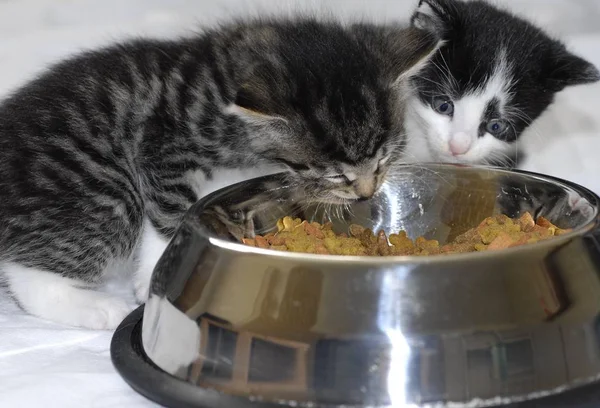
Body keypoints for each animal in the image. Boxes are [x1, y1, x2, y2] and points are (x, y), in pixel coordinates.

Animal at [1, 19, 440, 332]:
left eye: (383, 159)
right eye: (333, 174)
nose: (366, 194)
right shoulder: (162, 143)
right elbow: (170, 214)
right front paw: (156, 275)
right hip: (104, 191)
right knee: (27, 269)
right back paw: (94, 306)